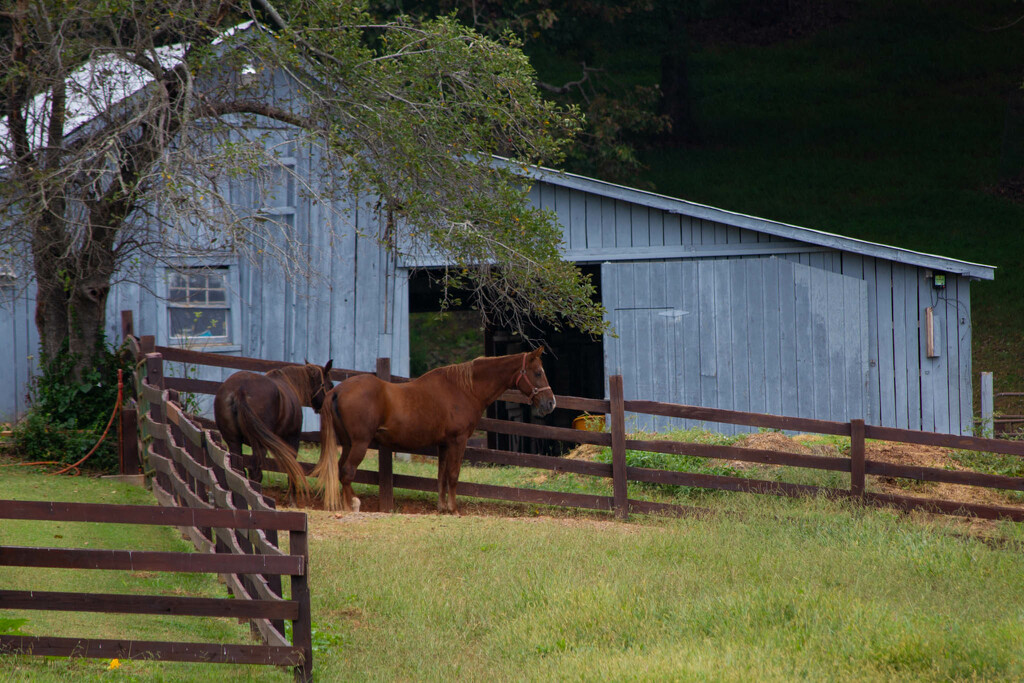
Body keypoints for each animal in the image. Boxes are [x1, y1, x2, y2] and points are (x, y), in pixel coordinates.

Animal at [311, 350, 557, 516]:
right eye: (538, 373)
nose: (551, 403)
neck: (464, 389)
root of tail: (337, 391)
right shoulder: (458, 441)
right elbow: (453, 475)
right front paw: (455, 510)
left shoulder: (444, 444)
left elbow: (441, 476)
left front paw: (442, 507)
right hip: (360, 443)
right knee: (347, 471)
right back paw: (353, 505)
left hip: (347, 443)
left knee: (339, 469)